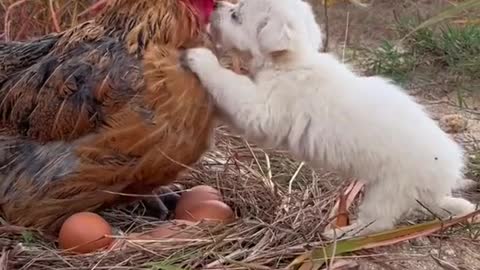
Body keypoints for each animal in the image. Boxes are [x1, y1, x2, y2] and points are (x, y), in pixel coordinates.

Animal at [182, 0, 474, 237]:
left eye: (237, 15)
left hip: (388, 191)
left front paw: (200, 58)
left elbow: (228, 84)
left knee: (377, 223)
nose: (218, 5)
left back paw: (340, 234)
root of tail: (449, 170)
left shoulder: (263, 111)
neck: (293, 62)